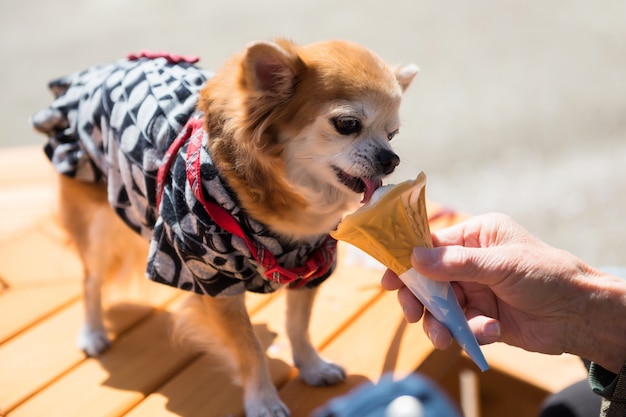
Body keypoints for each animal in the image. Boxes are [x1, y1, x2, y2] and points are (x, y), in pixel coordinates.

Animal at [31, 38, 416, 412]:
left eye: (392, 134)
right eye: (347, 125)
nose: (392, 159)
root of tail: (99, 72)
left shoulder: (311, 264)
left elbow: (298, 326)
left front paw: (312, 367)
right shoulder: (214, 278)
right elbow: (249, 348)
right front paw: (263, 400)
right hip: (96, 221)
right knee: (90, 280)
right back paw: (92, 333)